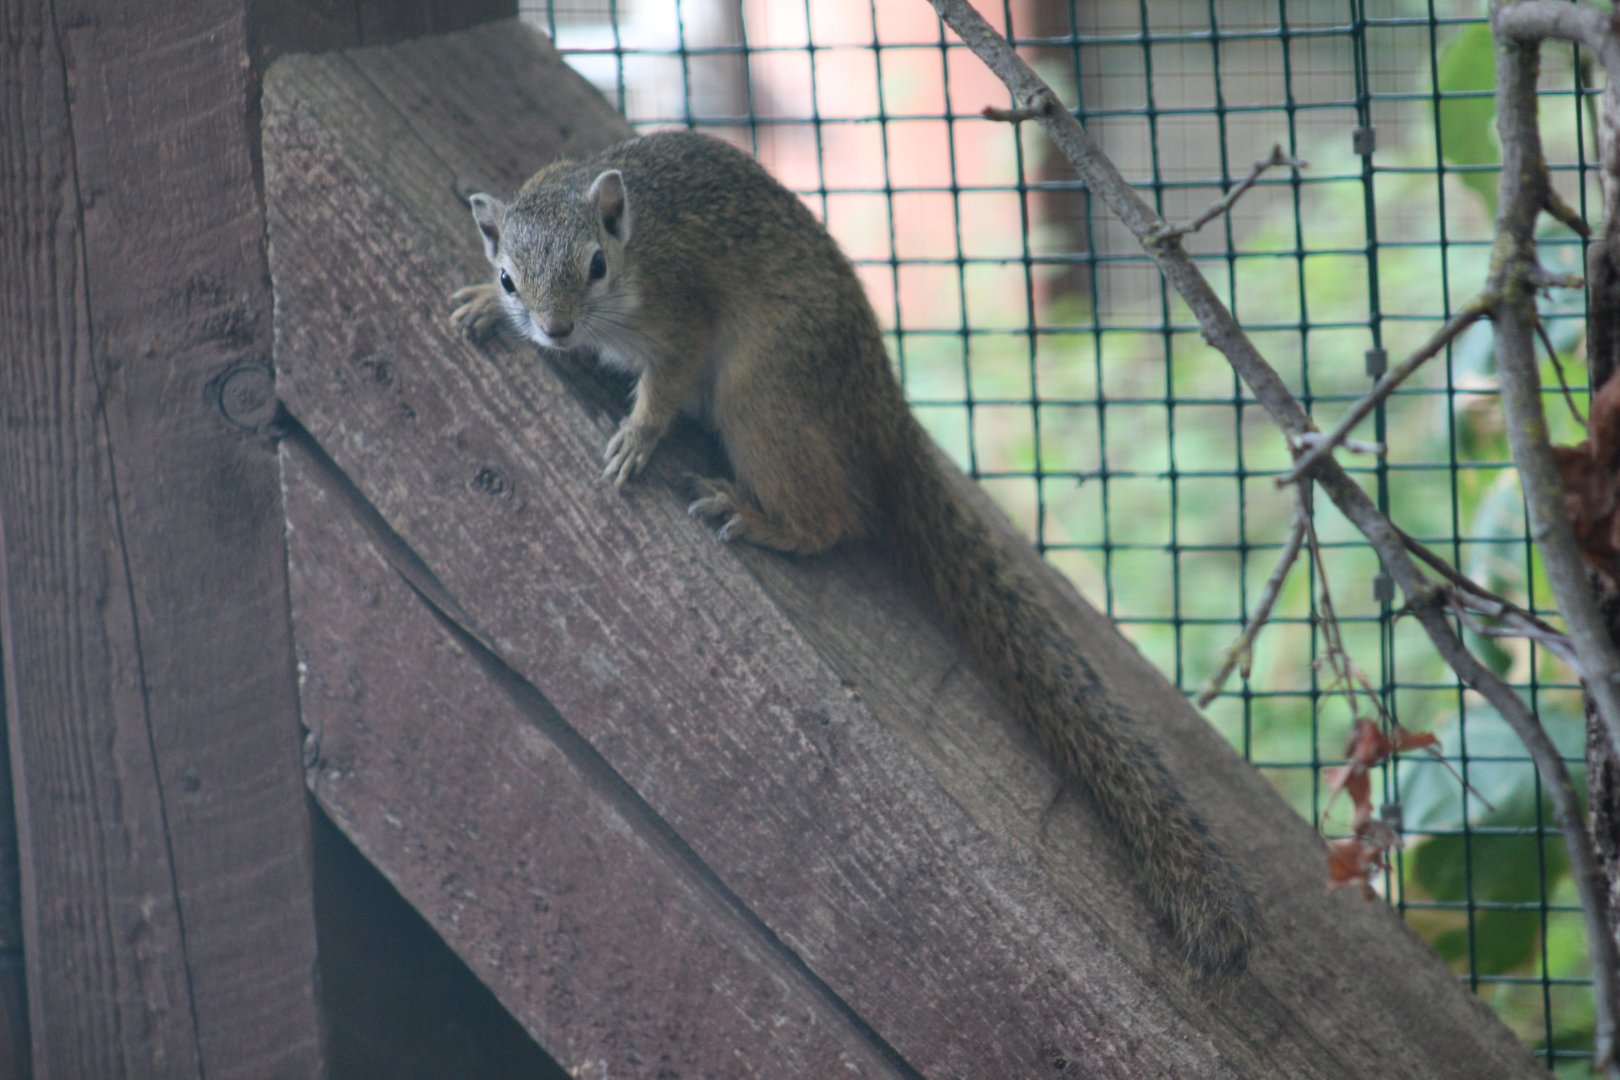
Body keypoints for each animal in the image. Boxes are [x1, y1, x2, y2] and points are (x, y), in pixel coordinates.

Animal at [450, 130, 1257, 986]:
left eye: (596, 266)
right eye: (510, 276)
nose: (556, 331)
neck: (633, 245)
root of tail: (881, 410)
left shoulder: (680, 314)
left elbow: (665, 383)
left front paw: (638, 436)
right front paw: (480, 308)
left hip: (761, 394)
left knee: (833, 518)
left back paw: (756, 516)